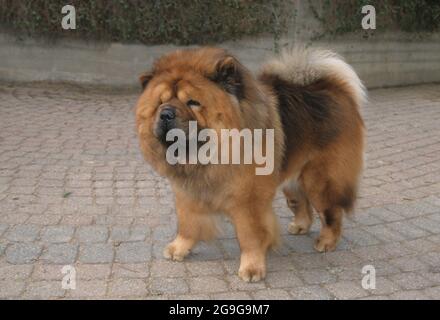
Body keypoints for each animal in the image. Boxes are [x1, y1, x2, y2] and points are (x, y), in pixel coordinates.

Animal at [136, 46, 366, 282]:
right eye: (160, 102)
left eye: (193, 102)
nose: (165, 114)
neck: (205, 155)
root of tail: (332, 87)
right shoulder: (187, 191)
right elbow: (188, 222)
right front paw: (179, 248)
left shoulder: (249, 200)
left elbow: (250, 235)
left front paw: (252, 268)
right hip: (292, 180)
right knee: (301, 203)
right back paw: (300, 226)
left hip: (319, 180)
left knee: (331, 211)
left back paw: (326, 242)